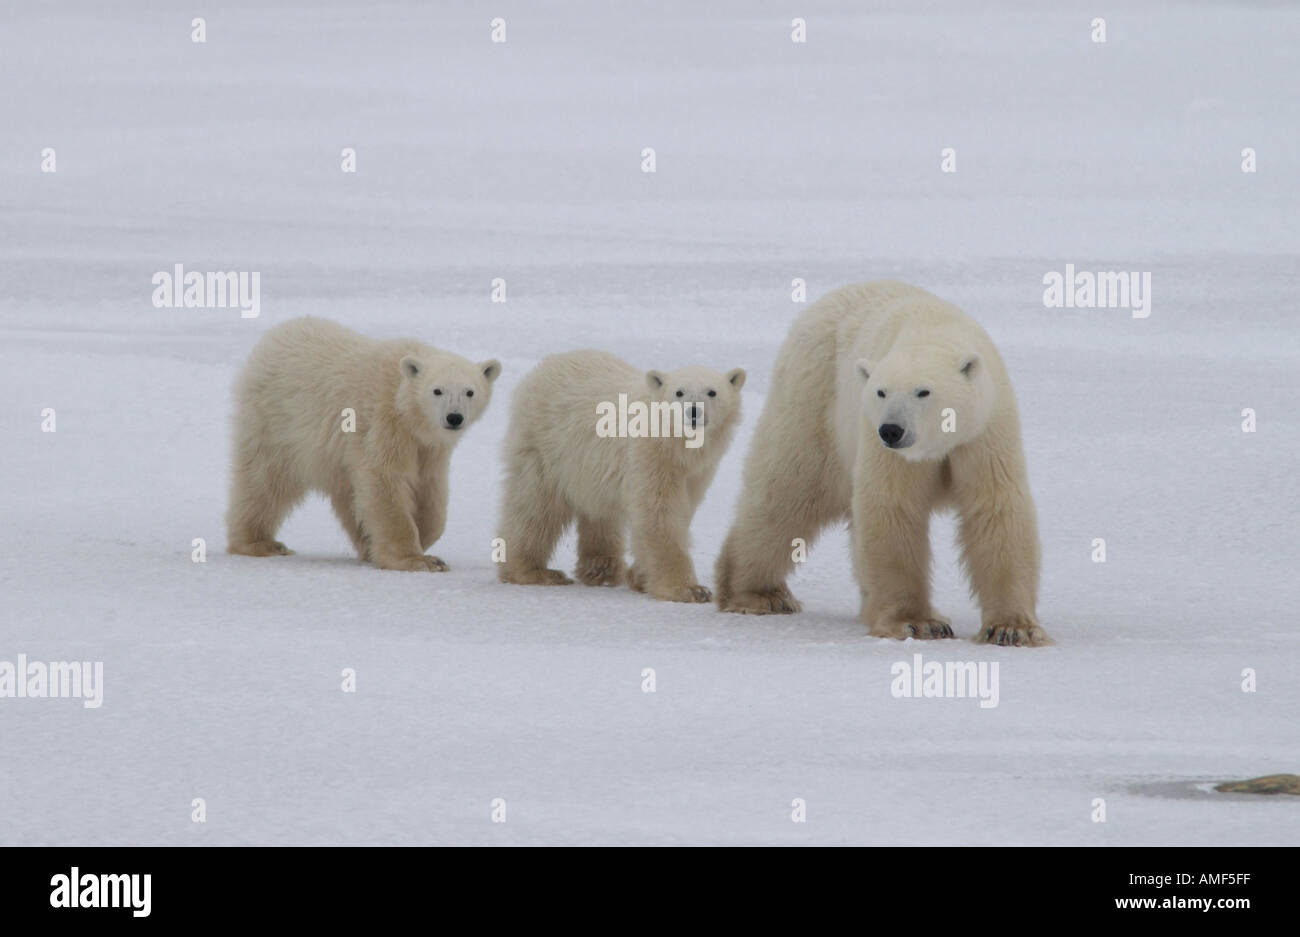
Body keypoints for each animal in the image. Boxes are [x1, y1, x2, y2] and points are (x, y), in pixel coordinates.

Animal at [226, 316, 501, 571]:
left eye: (470, 392)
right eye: (437, 390)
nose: (454, 417)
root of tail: (272, 337)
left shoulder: (429, 447)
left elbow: (430, 491)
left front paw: (419, 539)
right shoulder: (383, 423)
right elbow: (384, 480)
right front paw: (417, 559)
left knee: (346, 493)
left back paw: (363, 542)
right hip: (275, 422)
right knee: (265, 481)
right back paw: (260, 543)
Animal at [496, 350, 745, 602]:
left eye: (712, 392)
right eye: (679, 392)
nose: (693, 412)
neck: (676, 445)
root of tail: (545, 365)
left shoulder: (696, 471)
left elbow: (683, 510)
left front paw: (640, 577)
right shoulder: (650, 454)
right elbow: (659, 511)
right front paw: (690, 589)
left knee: (599, 511)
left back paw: (601, 568)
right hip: (545, 445)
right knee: (536, 506)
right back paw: (534, 571)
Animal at [714, 281, 1051, 646]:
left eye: (923, 391)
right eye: (881, 391)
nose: (891, 430)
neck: (934, 327)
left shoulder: (984, 433)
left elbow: (995, 509)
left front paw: (1012, 628)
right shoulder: (884, 445)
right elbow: (893, 508)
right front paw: (918, 623)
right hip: (815, 402)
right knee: (786, 493)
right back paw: (759, 594)